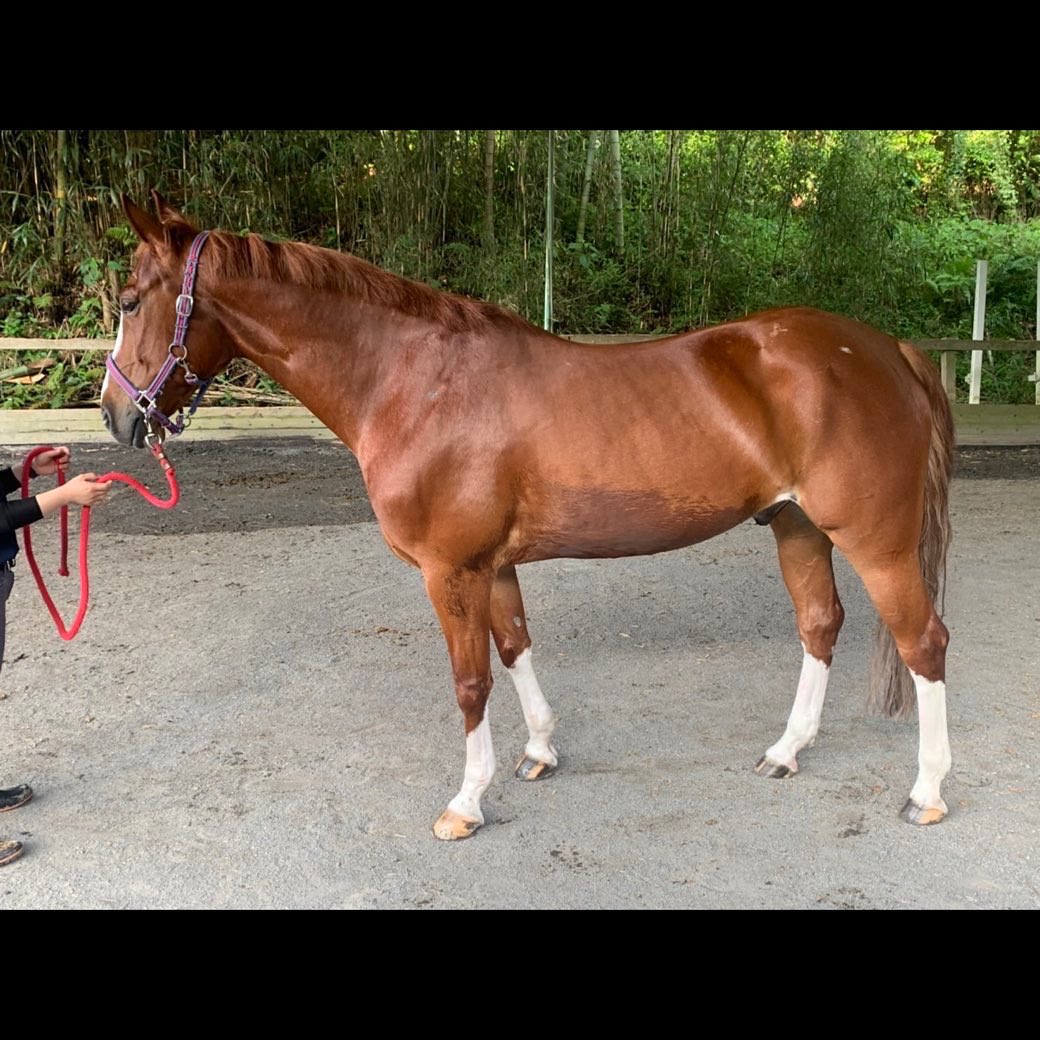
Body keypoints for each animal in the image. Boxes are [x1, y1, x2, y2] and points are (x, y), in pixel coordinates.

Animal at [101, 192, 954, 841]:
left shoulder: (450, 572)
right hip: (795, 526)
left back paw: (928, 791)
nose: (117, 415)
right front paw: (540, 751)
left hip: (875, 543)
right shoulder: (494, 565)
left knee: (924, 643)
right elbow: (514, 648)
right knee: (820, 625)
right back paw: (786, 750)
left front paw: (465, 802)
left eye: (131, 301)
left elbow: (470, 680)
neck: (413, 382)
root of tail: (887, 350)